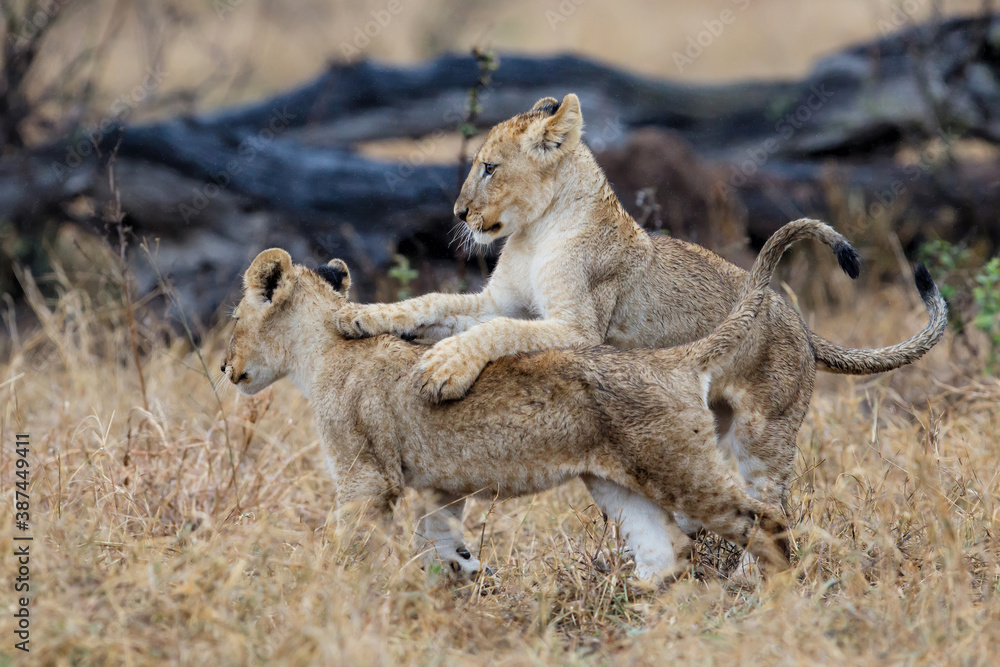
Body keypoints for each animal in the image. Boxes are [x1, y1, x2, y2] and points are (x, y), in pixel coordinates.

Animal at [222, 219, 887, 581]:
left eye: (231, 320)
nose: (226, 368)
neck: (317, 354)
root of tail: (670, 360)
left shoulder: (365, 480)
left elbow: (343, 546)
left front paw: (322, 593)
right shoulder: (437, 486)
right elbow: (439, 538)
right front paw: (462, 578)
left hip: (685, 471)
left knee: (766, 520)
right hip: (616, 484)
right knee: (666, 554)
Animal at [332, 94, 947, 558]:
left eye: (489, 167)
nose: (459, 214)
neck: (534, 232)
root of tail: (800, 323)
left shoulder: (576, 327)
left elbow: (492, 334)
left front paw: (442, 369)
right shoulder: (497, 300)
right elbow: (431, 301)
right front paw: (358, 315)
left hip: (764, 436)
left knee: (770, 509)